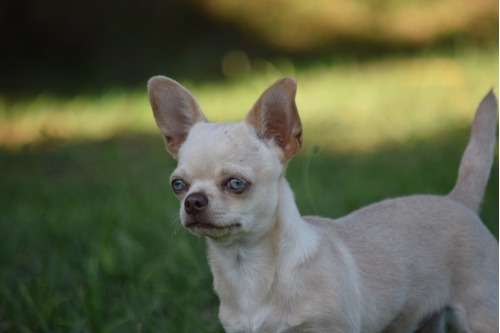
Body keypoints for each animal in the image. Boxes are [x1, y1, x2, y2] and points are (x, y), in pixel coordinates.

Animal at [146, 76, 498, 330]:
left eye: (235, 184)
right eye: (178, 185)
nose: (193, 202)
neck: (246, 268)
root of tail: (457, 200)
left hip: (479, 313)